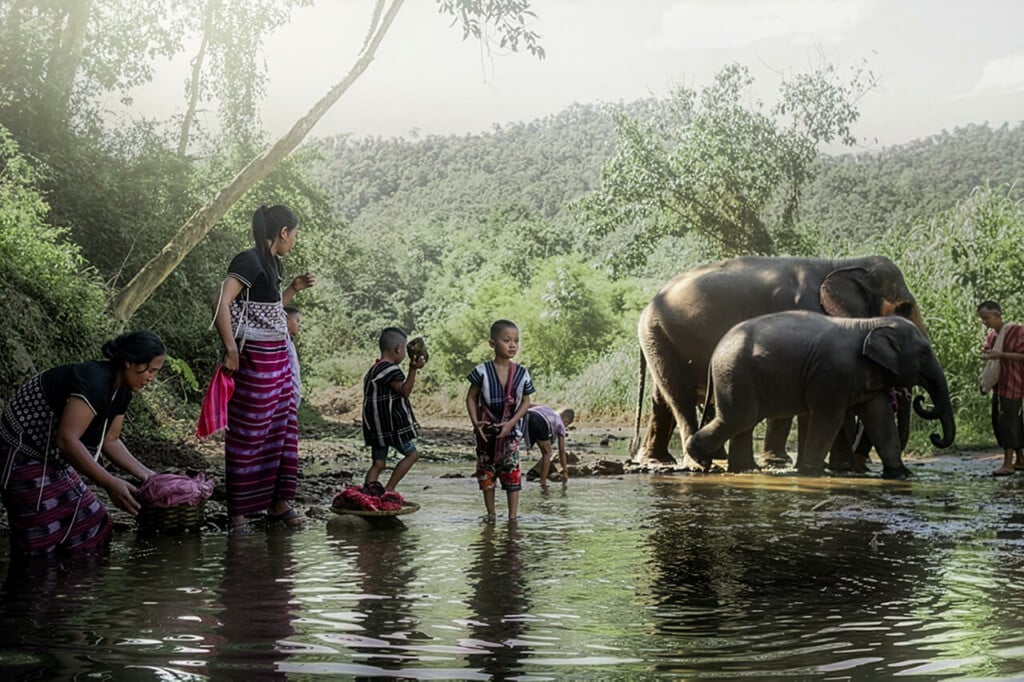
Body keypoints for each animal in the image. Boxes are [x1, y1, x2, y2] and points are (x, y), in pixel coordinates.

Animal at [631, 255, 925, 468]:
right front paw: (828, 467)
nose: (861, 463)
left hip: (660, 341)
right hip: (659, 337)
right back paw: (700, 463)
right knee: (680, 399)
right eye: (905, 308)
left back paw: (663, 460)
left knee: (663, 398)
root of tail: (649, 303)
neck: (839, 264)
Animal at [685, 312, 955, 478]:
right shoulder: (832, 373)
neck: (869, 323)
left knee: (744, 422)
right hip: (735, 373)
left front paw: (901, 475)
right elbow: (828, 418)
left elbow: (879, 418)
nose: (935, 436)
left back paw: (744, 469)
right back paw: (700, 460)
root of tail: (715, 351)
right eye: (924, 352)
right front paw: (812, 472)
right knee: (740, 418)